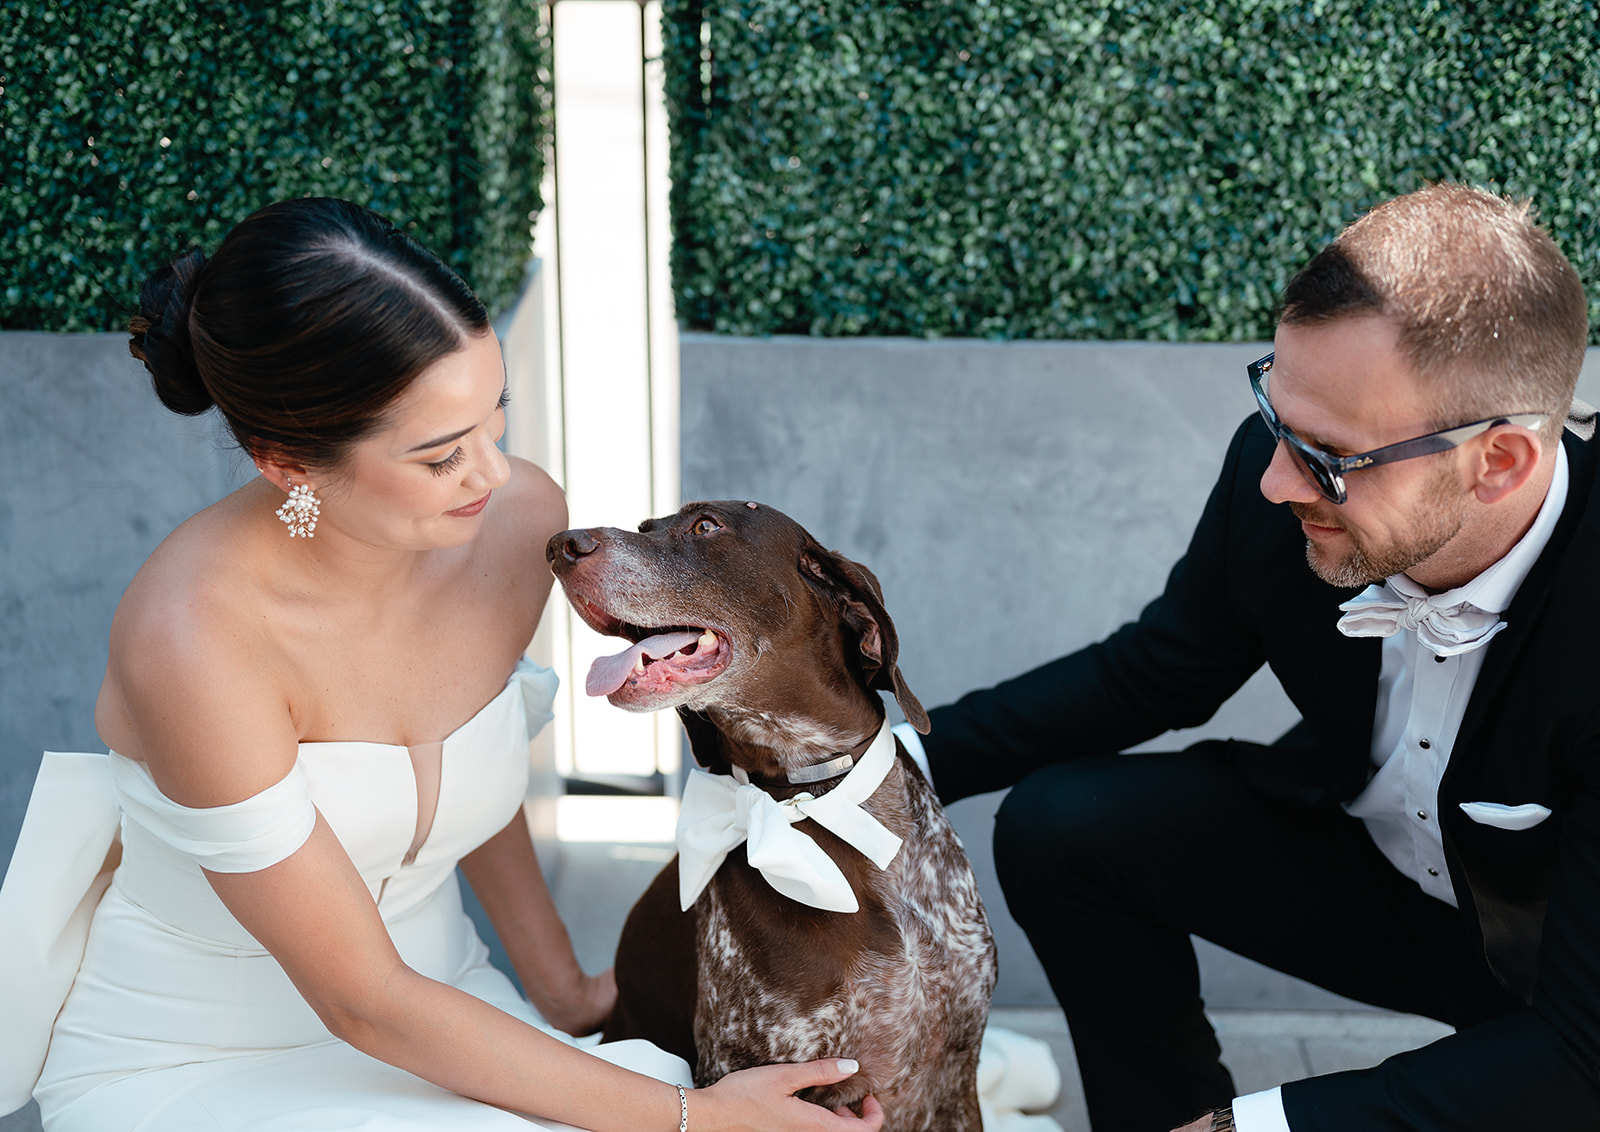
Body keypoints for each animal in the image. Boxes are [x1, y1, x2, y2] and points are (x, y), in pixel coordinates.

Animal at [553, 505, 998, 1132]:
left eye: (706, 526)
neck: (812, 794)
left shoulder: (957, 1081)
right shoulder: (745, 1069)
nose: (558, 545)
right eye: (644, 527)